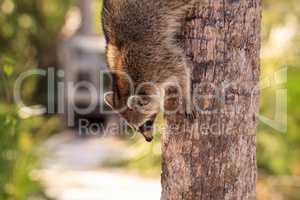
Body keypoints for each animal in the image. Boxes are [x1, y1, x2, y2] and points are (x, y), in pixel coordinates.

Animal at [102, 0, 197, 141]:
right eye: (136, 128)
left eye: (147, 123)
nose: (148, 139)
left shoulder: (157, 61)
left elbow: (182, 70)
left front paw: (186, 97)